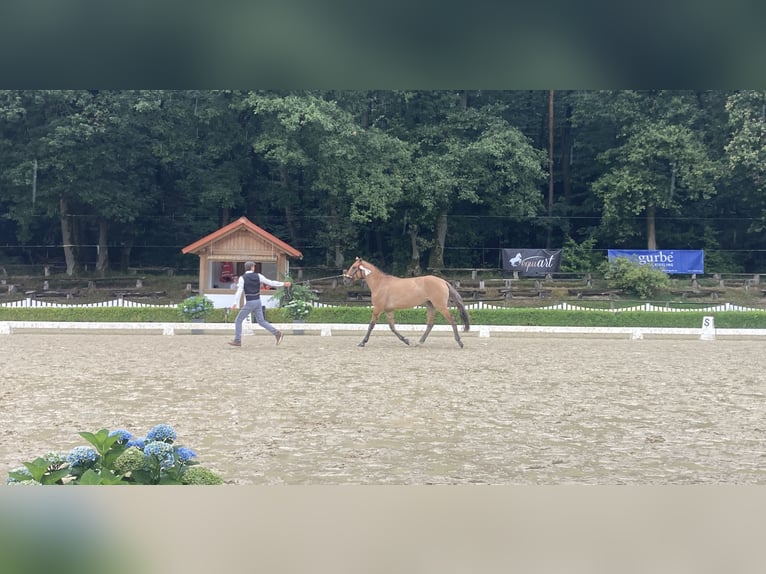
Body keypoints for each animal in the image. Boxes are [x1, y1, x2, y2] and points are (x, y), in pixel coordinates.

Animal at [344, 258, 472, 348]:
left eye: (354, 267)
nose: (345, 280)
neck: (380, 283)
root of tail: (443, 281)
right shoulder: (388, 310)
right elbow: (392, 327)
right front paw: (406, 340)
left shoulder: (377, 308)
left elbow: (371, 325)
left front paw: (362, 342)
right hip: (430, 305)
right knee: (430, 324)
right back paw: (419, 342)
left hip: (440, 306)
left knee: (452, 321)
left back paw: (460, 342)